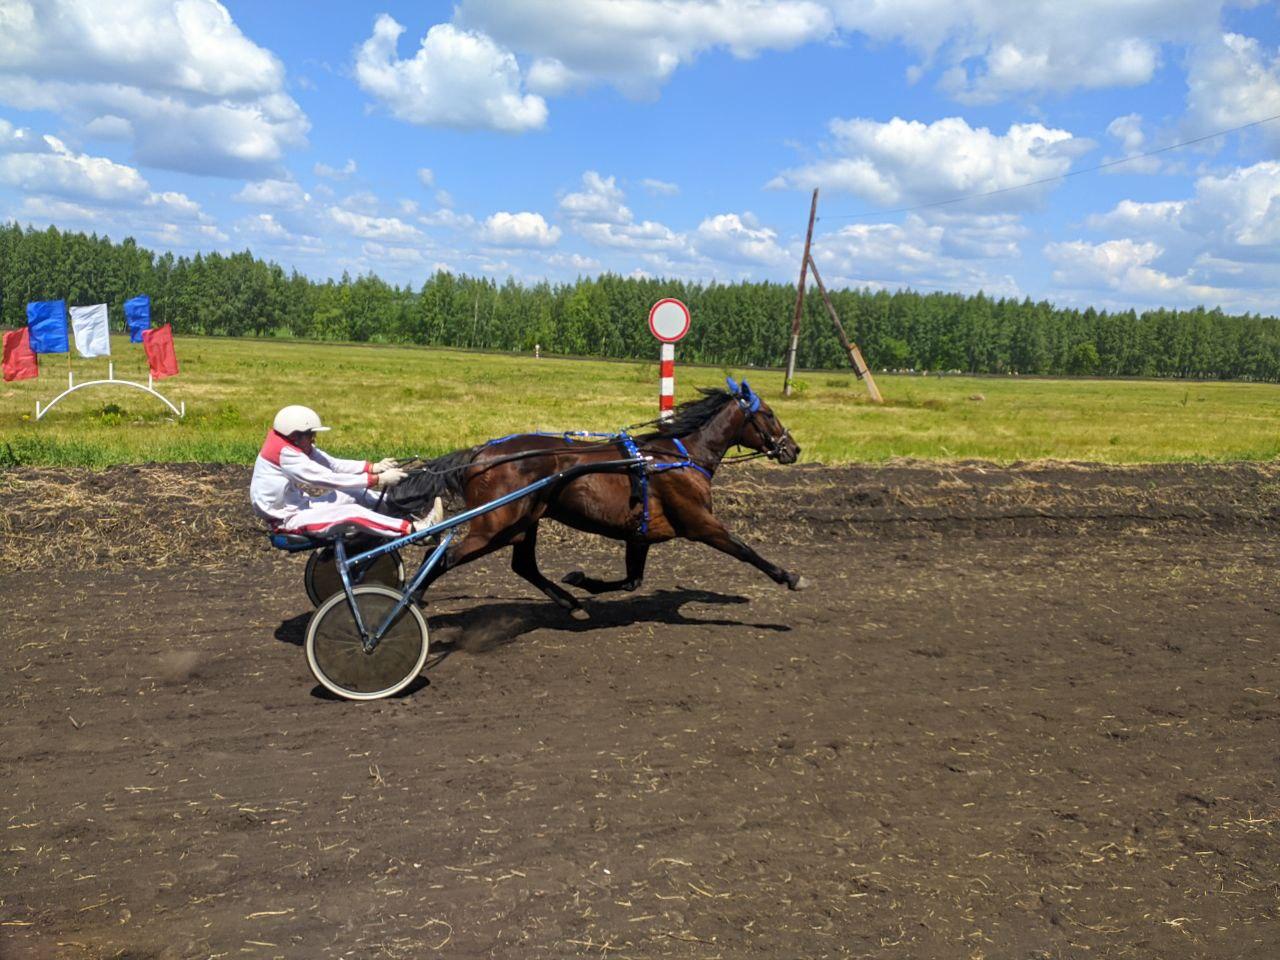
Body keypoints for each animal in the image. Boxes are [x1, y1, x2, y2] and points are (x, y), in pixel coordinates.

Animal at [386, 378, 808, 619]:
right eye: (770, 414)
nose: (794, 449)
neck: (680, 454)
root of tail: (480, 454)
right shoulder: (700, 522)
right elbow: (745, 549)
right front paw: (790, 576)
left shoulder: (640, 533)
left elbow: (632, 581)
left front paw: (582, 581)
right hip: (495, 525)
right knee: (440, 557)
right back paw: (410, 600)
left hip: (524, 522)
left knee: (524, 566)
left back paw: (572, 605)